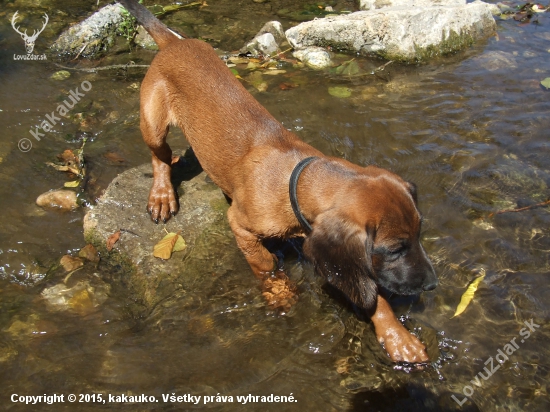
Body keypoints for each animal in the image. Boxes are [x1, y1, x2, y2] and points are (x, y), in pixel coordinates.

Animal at [121, 0, 440, 364]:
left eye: (419, 235)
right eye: (394, 249)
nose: (432, 285)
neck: (297, 179)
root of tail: (174, 42)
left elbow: (372, 295)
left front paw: (398, 336)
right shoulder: (240, 224)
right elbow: (264, 263)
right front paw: (278, 289)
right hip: (153, 120)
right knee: (159, 156)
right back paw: (162, 194)